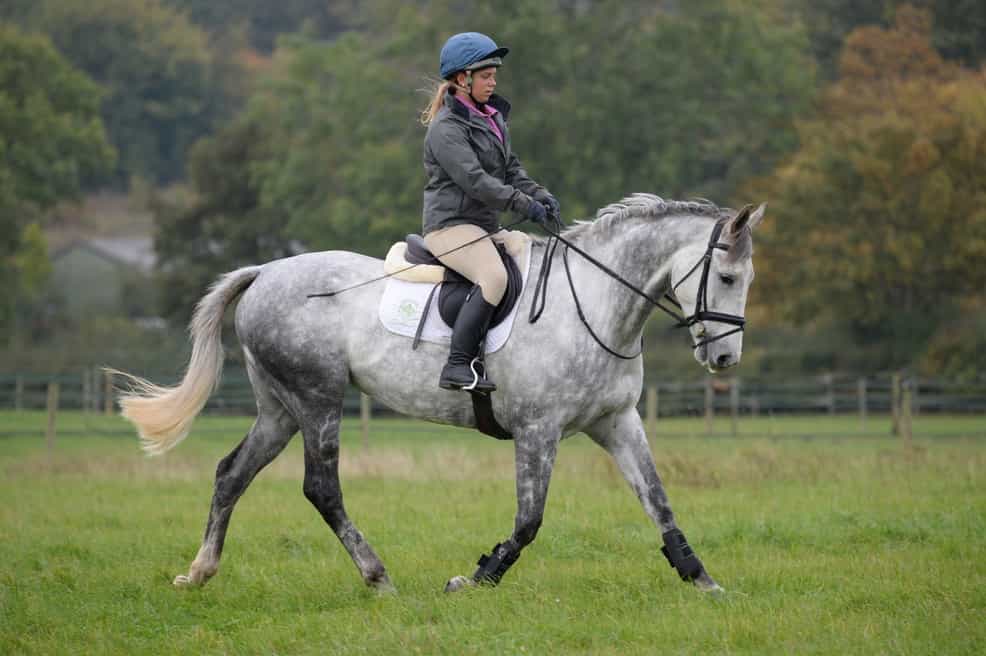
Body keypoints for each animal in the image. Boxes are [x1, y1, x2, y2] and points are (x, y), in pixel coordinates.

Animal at [115, 193, 765, 594]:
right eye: (727, 277)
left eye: (746, 280)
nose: (724, 359)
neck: (595, 306)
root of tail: (263, 273)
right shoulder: (538, 431)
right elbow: (529, 519)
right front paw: (475, 579)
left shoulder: (618, 422)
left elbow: (659, 502)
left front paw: (702, 579)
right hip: (318, 400)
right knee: (321, 488)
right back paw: (377, 577)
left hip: (280, 408)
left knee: (232, 473)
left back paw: (200, 572)